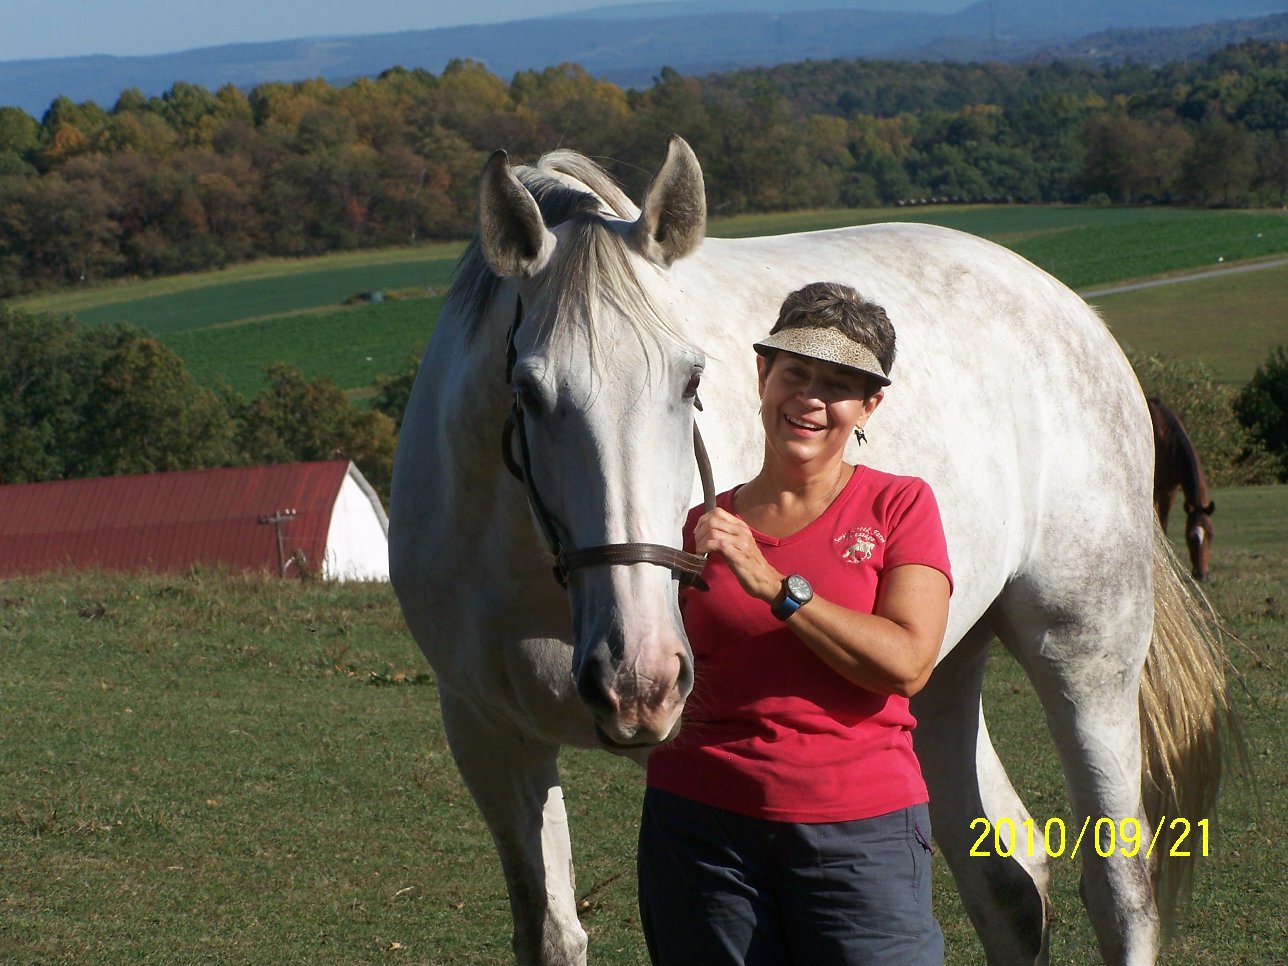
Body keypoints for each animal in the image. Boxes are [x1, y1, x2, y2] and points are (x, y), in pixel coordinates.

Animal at [1147, 396, 1215, 581]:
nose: (1201, 575)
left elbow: (1164, 527)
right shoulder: (1157, 491)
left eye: (1211, 534)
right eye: (1190, 536)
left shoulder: (1169, 492)